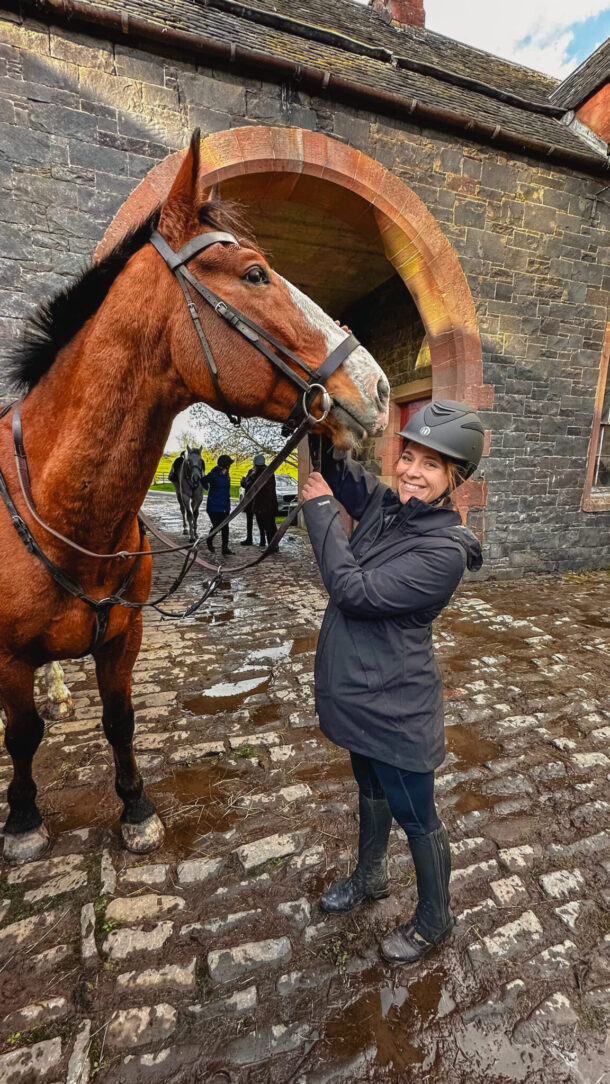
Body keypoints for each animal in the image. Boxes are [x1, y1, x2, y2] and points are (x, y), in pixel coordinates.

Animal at [0, 129, 390, 864]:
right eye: (256, 274)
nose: (380, 388)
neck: (71, 515)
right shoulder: (8, 656)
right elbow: (22, 735)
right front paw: (24, 820)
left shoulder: (122, 639)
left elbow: (120, 721)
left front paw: (136, 809)